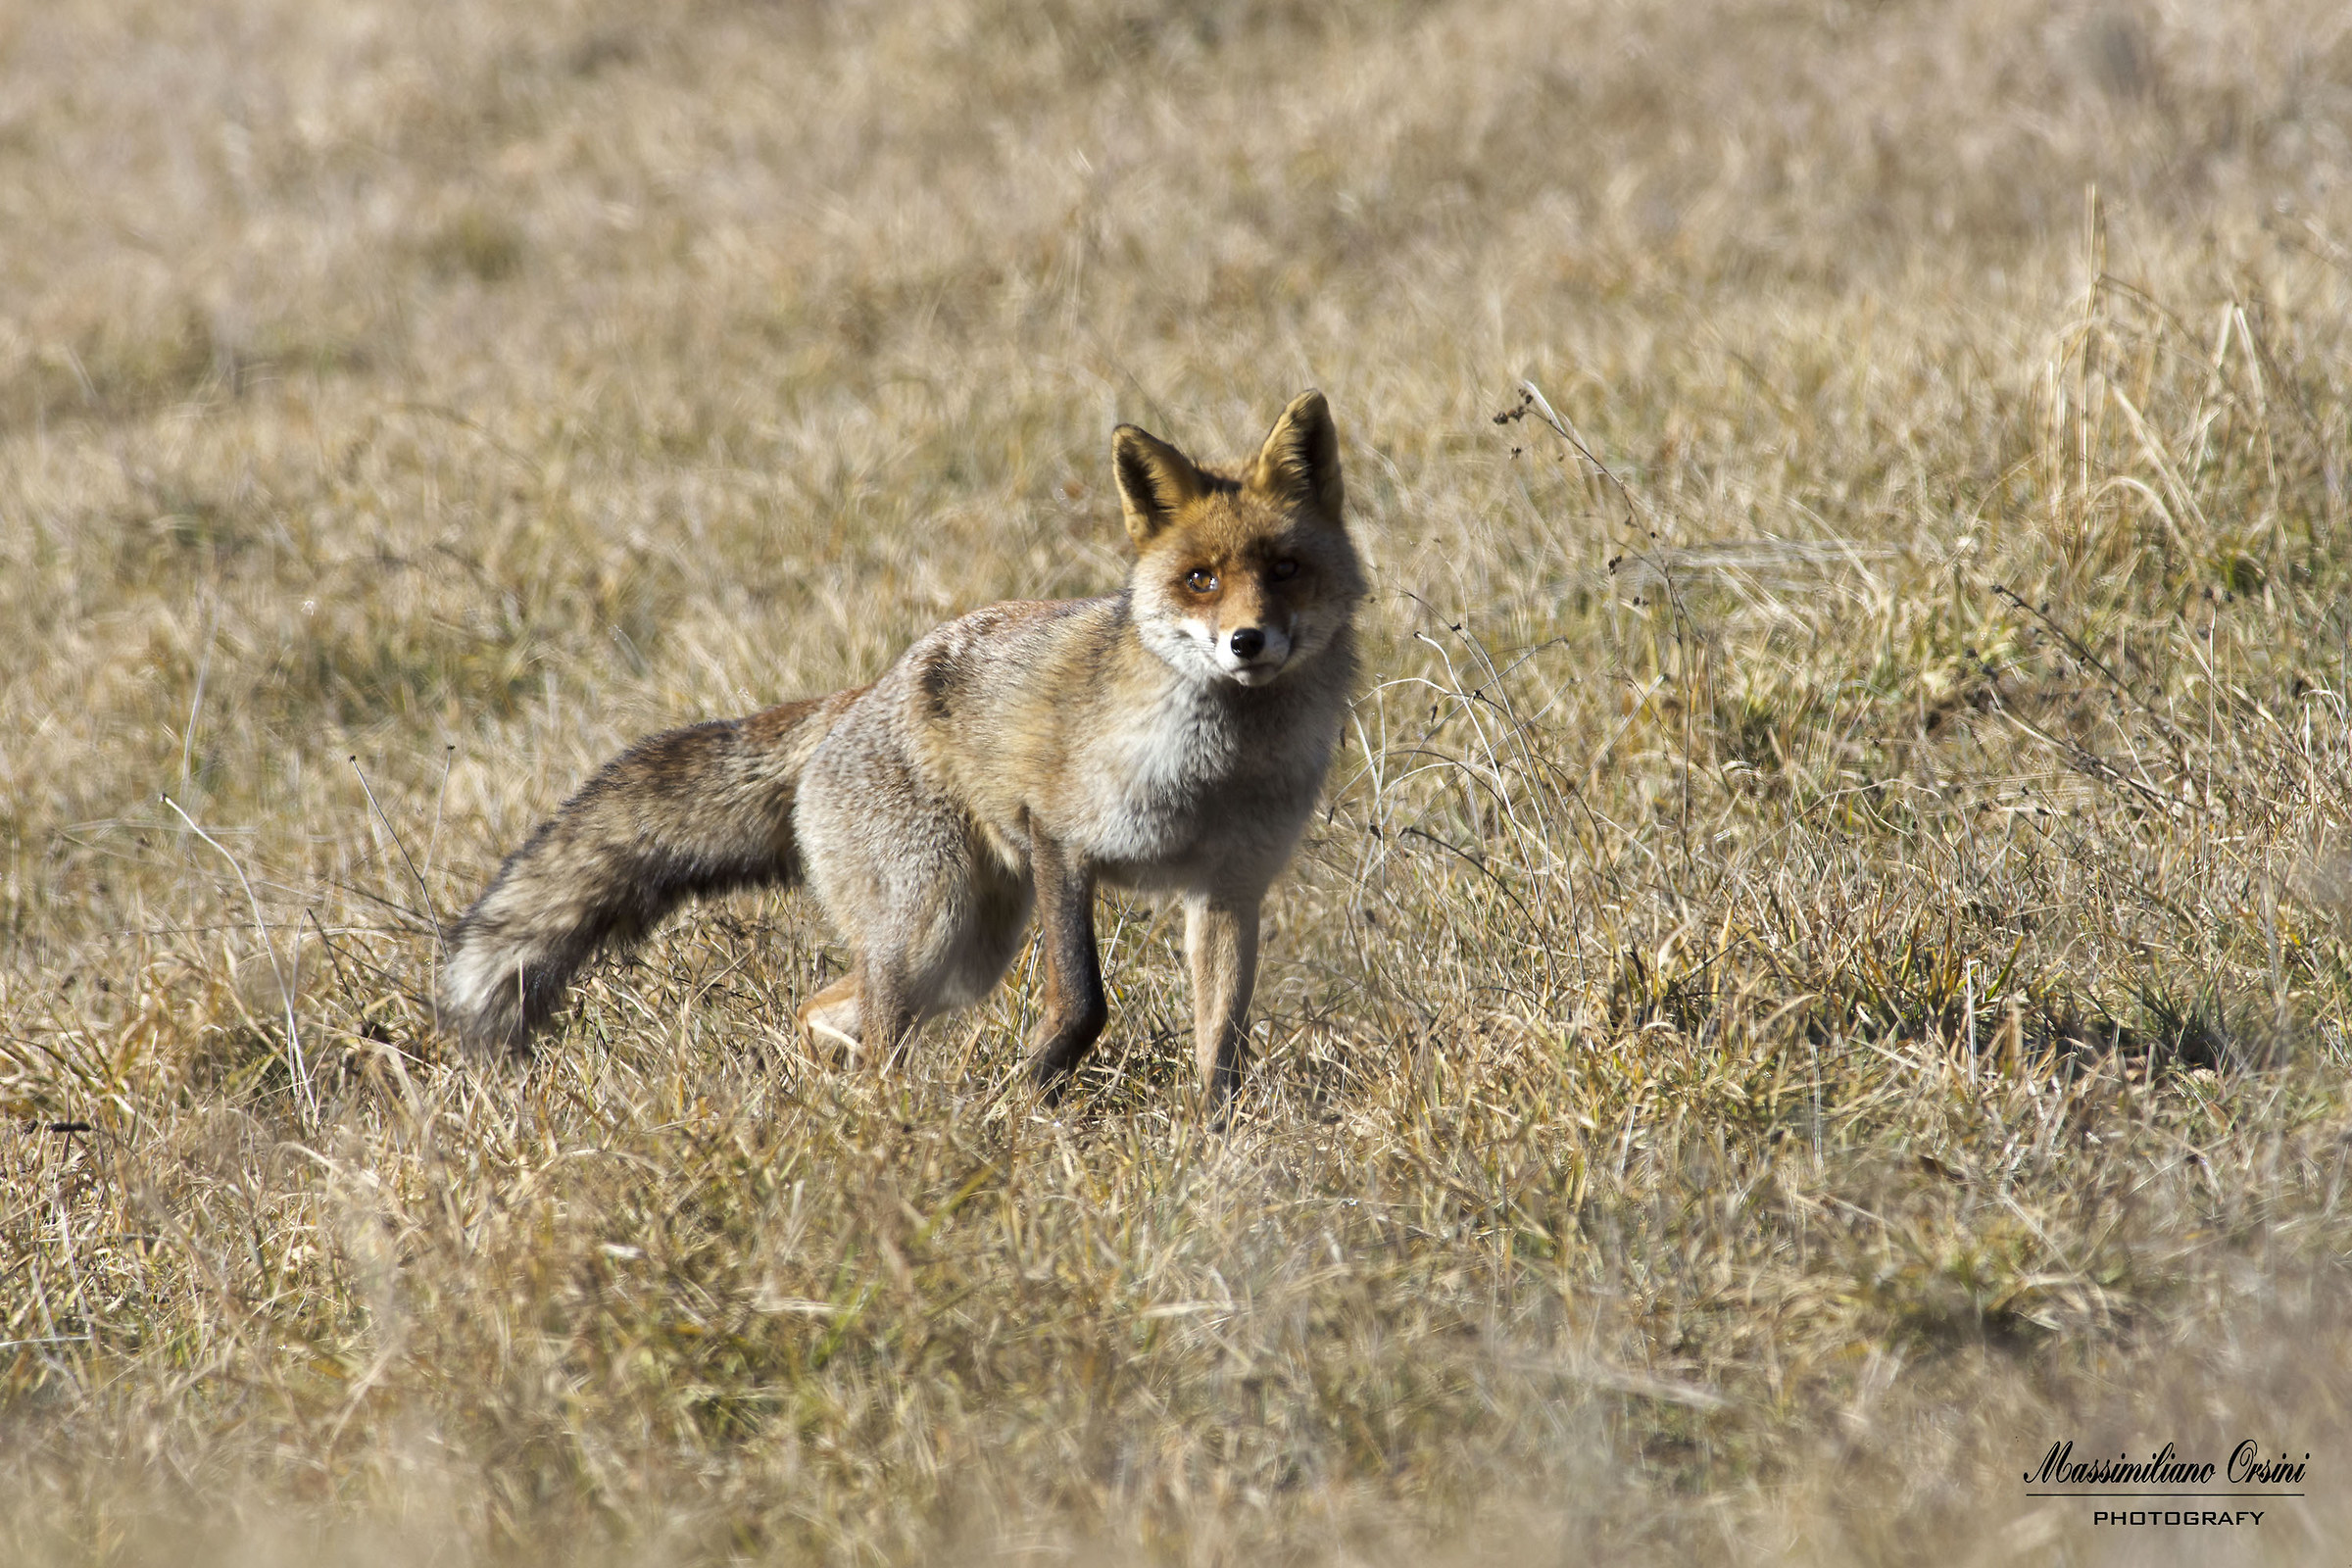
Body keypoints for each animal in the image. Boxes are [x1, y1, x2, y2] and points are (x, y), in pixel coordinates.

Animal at [438, 390, 1365, 1109]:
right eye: (1201, 579)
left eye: (1284, 568)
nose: (1247, 642)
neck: (1223, 774)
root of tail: (857, 697)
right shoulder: (1062, 837)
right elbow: (1083, 1003)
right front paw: (1027, 1099)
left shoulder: (1229, 891)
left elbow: (1223, 1048)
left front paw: (1213, 1145)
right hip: (934, 925)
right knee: (866, 1027)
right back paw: (888, 1121)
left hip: (966, 947)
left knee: (820, 1009)